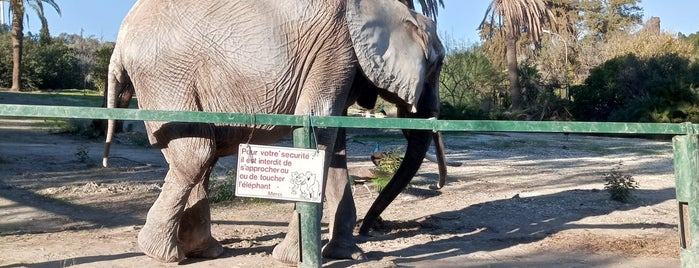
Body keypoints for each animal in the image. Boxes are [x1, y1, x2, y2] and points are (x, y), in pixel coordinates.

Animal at [101, 0, 446, 264]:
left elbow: (335, 144)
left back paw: (204, 251)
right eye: (437, 65)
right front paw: (294, 258)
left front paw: (347, 255)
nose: (371, 228)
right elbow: (318, 127)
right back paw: (162, 253)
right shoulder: (336, 49)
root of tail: (119, 42)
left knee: (199, 157)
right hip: (166, 77)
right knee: (197, 154)